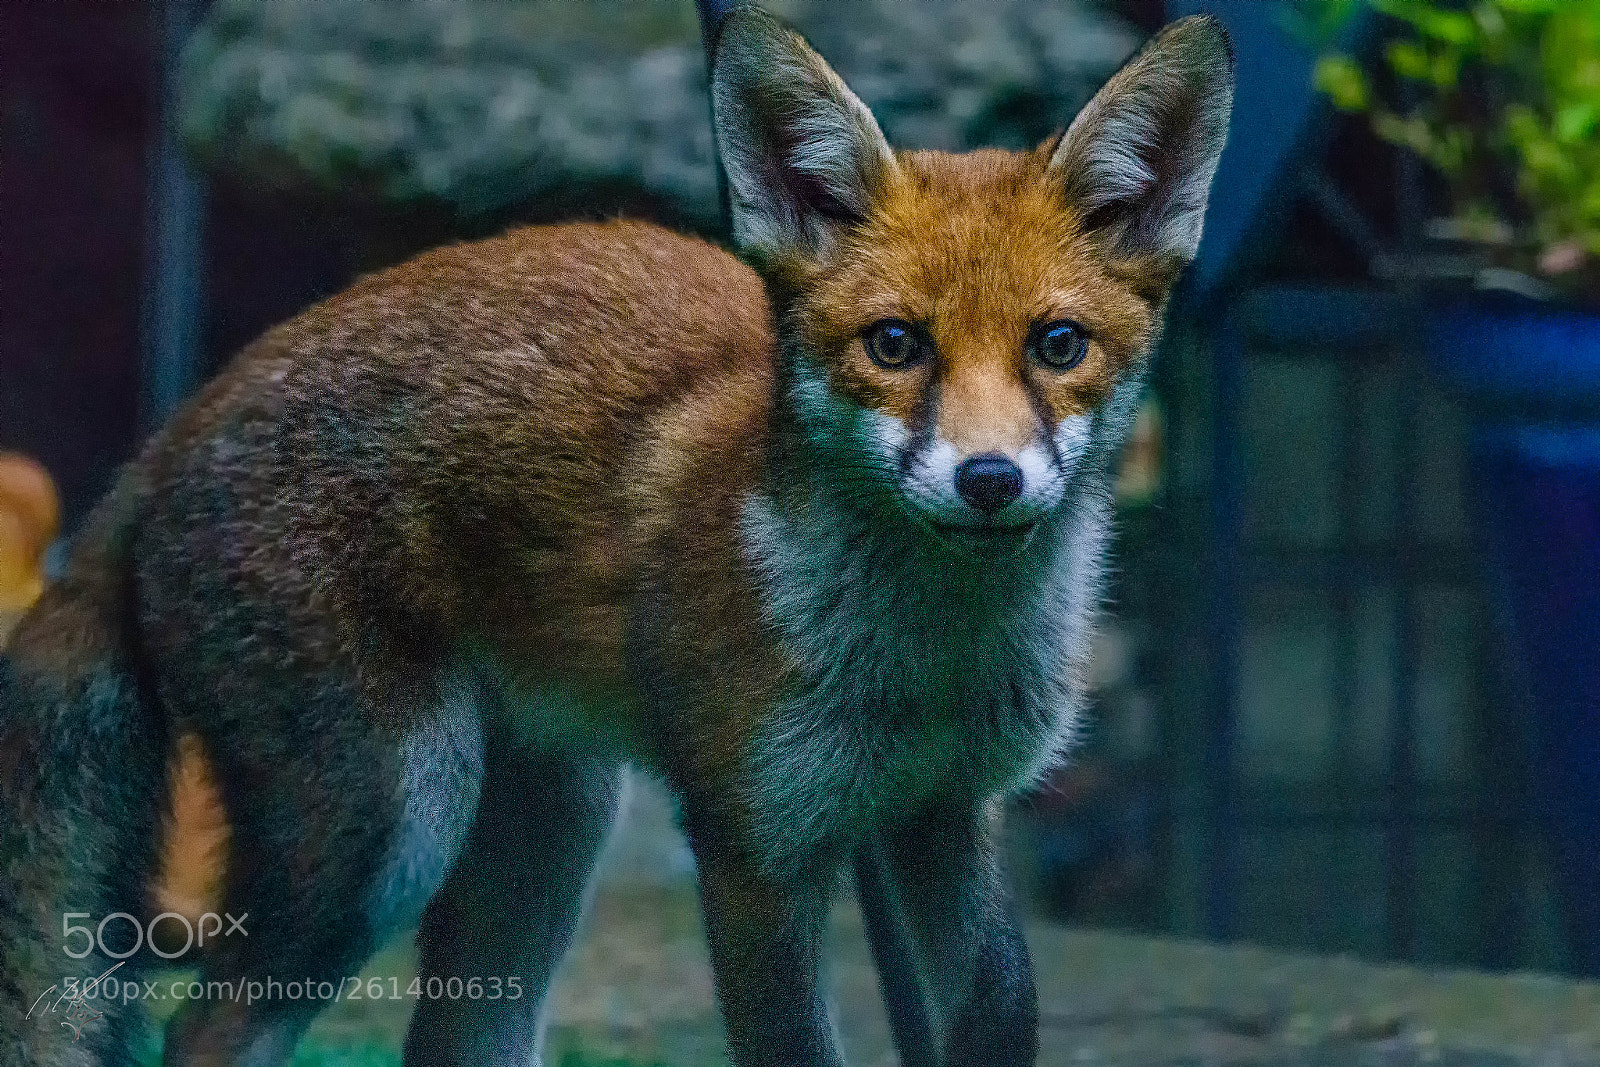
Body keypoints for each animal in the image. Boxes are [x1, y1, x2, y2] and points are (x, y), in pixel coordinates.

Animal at [0, 7, 1232, 1066]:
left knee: (452, 1037)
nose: (988, 480)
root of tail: (172, 432)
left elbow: (999, 1014)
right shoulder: (753, 843)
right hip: (394, 821)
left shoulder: (948, 814)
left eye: (1058, 345)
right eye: (895, 344)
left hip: (549, 828)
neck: (923, 669)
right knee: (205, 1026)